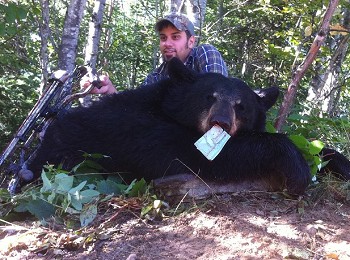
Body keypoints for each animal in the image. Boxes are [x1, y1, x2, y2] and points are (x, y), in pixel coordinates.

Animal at [19, 57, 312, 195]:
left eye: (241, 106)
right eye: (210, 96)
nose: (221, 121)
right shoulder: (138, 129)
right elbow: (190, 156)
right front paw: (297, 168)